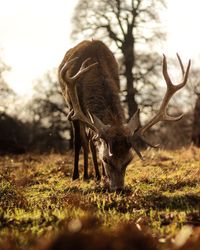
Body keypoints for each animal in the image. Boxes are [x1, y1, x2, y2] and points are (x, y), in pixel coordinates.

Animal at [58, 39, 191, 191]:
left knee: (91, 141)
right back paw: (84, 175)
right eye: (106, 160)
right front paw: (76, 176)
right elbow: (78, 141)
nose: (119, 189)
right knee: (83, 141)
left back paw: (97, 175)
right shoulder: (72, 107)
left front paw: (103, 176)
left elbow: (96, 142)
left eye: (129, 160)